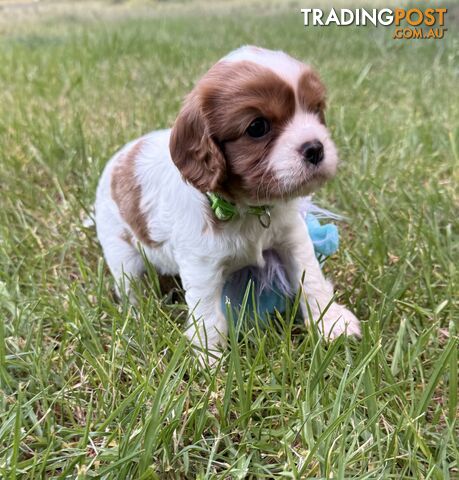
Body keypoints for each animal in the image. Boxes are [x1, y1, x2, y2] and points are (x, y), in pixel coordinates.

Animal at [95, 46, 362, 360]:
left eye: (316, 110)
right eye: (257, 127)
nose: (316, 148)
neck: (248, 207)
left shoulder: (292, 237)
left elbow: (311, 279)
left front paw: (333, 323)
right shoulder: (201, 266)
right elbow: (208, 314)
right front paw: (210, 357)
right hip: (120, 252)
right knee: (131, 288)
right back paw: (137, 317)